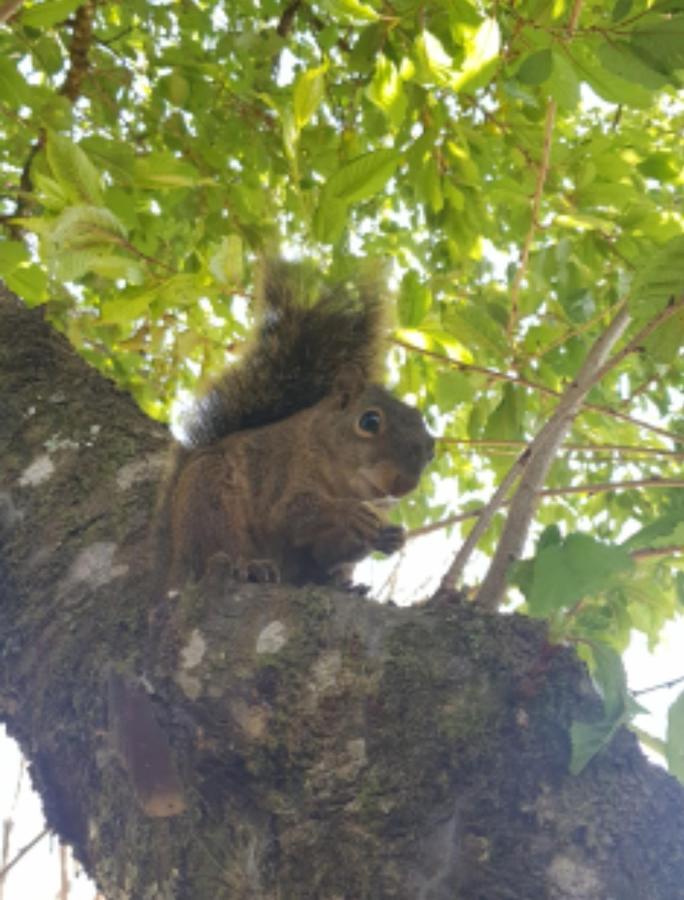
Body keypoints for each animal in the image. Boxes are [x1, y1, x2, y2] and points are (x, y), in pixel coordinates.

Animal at [157, 260, 432, 592]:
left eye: (431, 451)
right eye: (369, 421)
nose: (405, 484)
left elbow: (325, 552)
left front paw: (389, 537)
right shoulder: (282, 470)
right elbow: (287, 513)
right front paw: (345, 513)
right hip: (207, 496)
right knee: (215, 549)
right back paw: (250, 567)